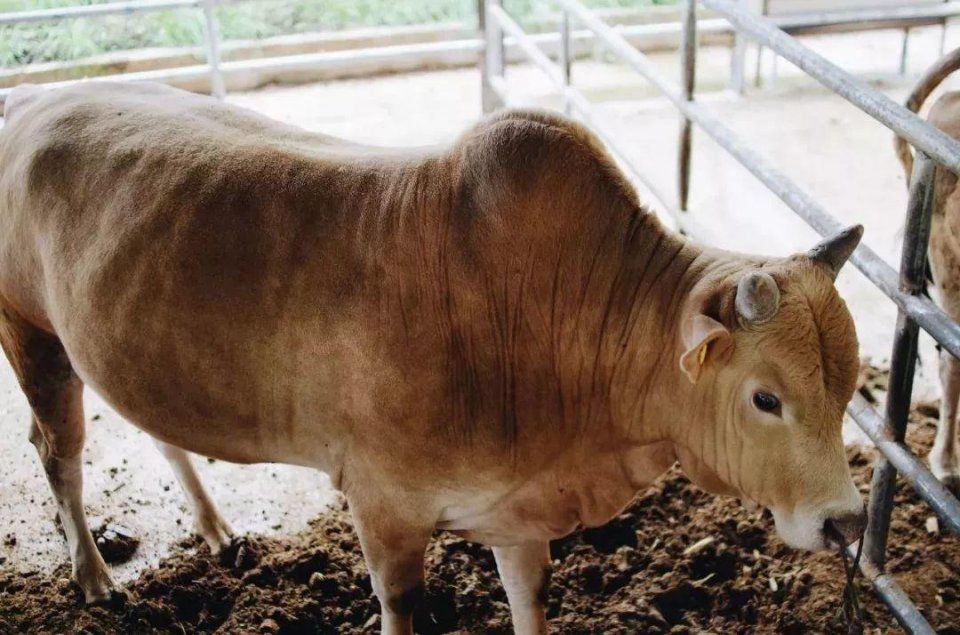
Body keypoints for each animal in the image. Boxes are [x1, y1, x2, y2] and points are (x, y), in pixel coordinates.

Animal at [0, 82, 868, 632]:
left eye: (849, 386)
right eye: (765, 397)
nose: (847, 521)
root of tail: (36, 101)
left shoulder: (518, 509)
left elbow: (530, 600)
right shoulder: (384, 505)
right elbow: (403, 607)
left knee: (155, 429)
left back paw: (216, 529)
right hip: (31, 333)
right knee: (57, 452)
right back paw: (93, 578)